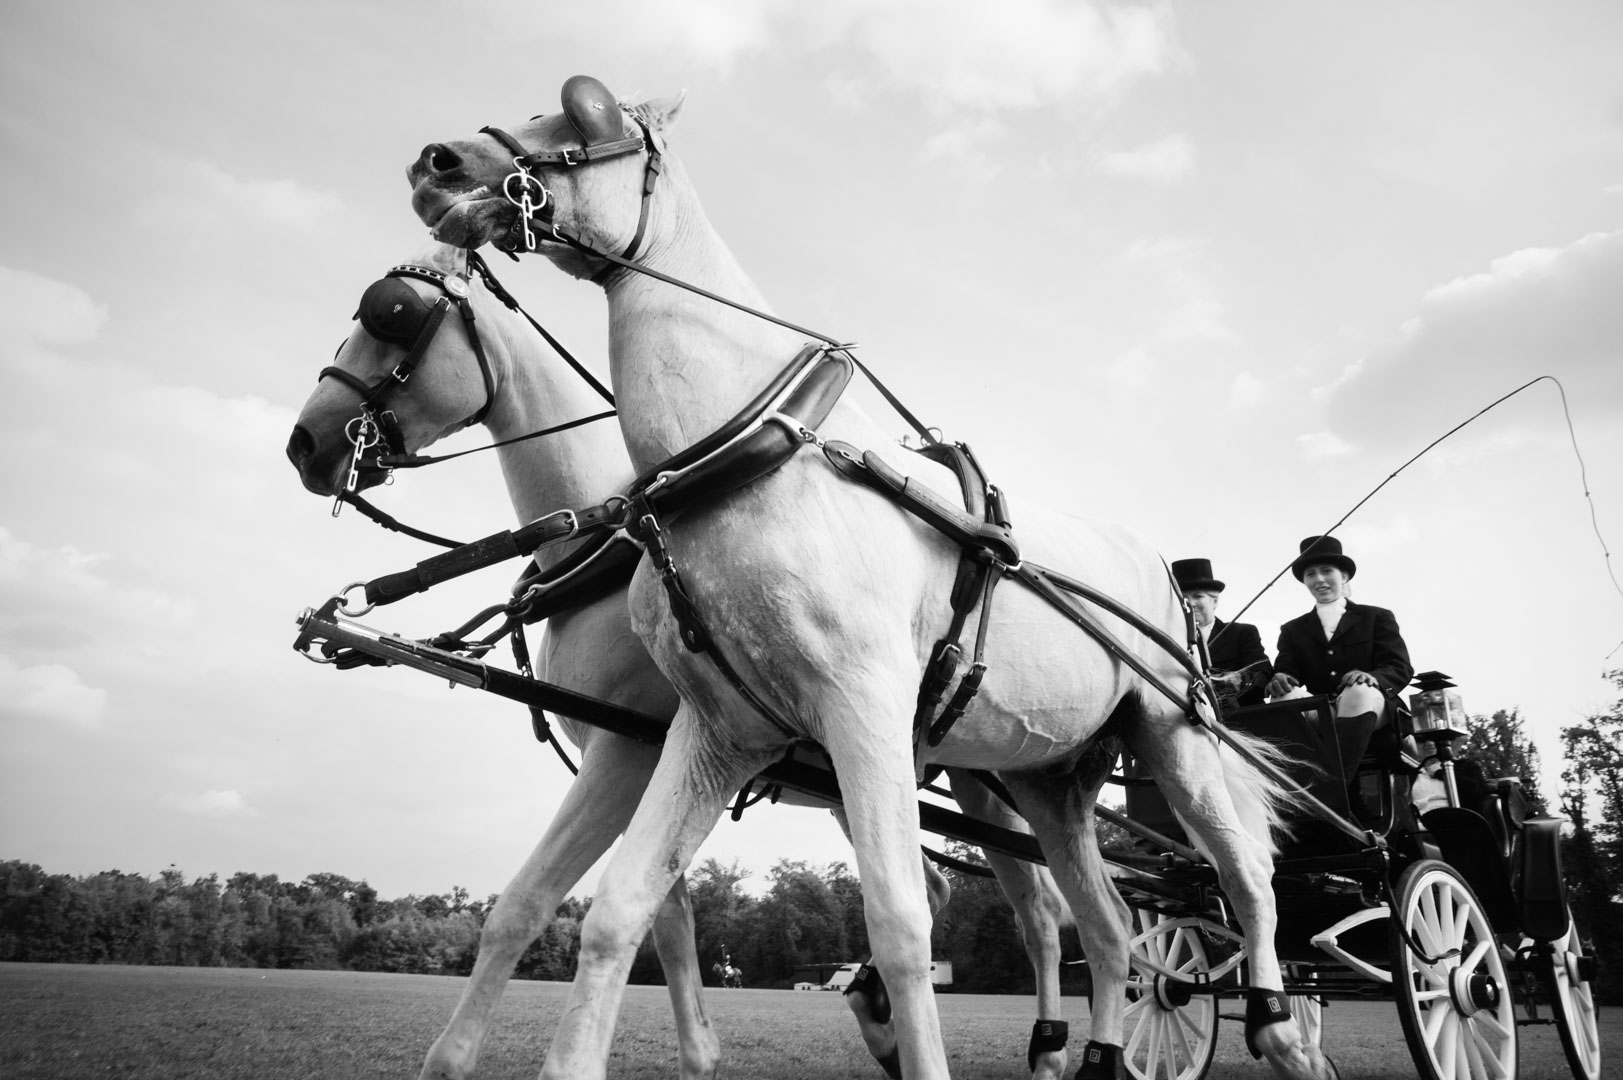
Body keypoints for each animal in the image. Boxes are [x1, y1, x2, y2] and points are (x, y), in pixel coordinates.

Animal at [288, 243, 1077, 1078]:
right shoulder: (647, 755)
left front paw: (689, 1051)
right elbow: (618, 911)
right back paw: (885, 1017)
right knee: (943, 885)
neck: (602, 545)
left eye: (390, 314)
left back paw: (1050, 1046)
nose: (305, 441)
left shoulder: (627, 747)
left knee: (1038, 908)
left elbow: (626, 913)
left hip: (983, 775)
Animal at [402, 82, 1330, 1078]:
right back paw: (1093, 1053)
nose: (436, 163)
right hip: (1046, 780)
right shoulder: (714, 732)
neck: (741, 466)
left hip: (1171, 732)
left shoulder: (862, 708)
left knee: (1246, 879)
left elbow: (899, 921)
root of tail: (1155, 560)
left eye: (583, 115)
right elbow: (620, 910)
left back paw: (1279, 1023)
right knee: (1108, 924)